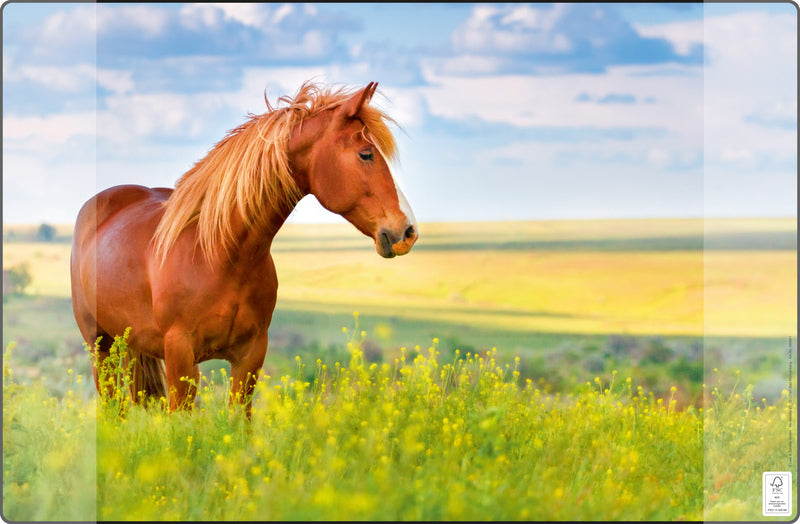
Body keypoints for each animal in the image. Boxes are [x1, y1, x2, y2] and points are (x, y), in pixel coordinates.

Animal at [70, 81, 418, 416]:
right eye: (366, 154)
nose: (408, 231)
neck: (220, 255)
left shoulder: (250, 356)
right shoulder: (180, 355)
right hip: (100, 347)